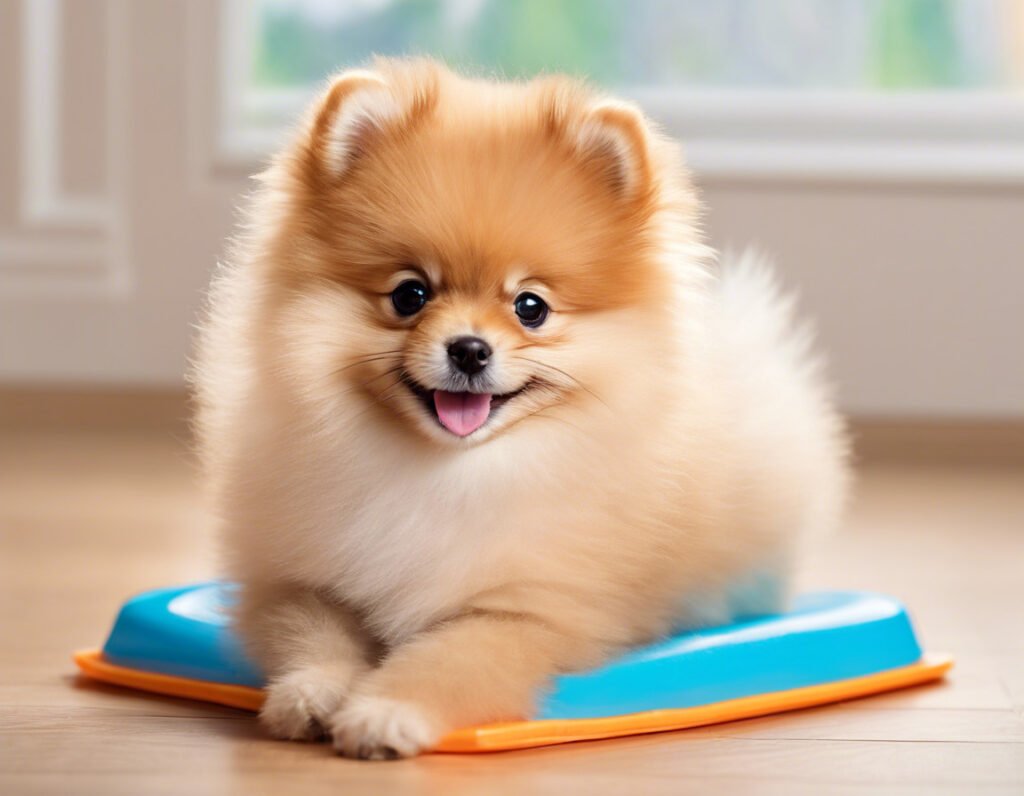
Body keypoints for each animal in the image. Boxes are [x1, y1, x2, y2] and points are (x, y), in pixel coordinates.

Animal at [192, 57, 847, 758]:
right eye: (409, 295)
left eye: (530, 307)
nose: (469, 349)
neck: (445, 472)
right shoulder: (295, 577)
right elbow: (310, 631)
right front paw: (312, 695)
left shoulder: (526, 610)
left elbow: (451, 658)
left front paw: (384, 713)